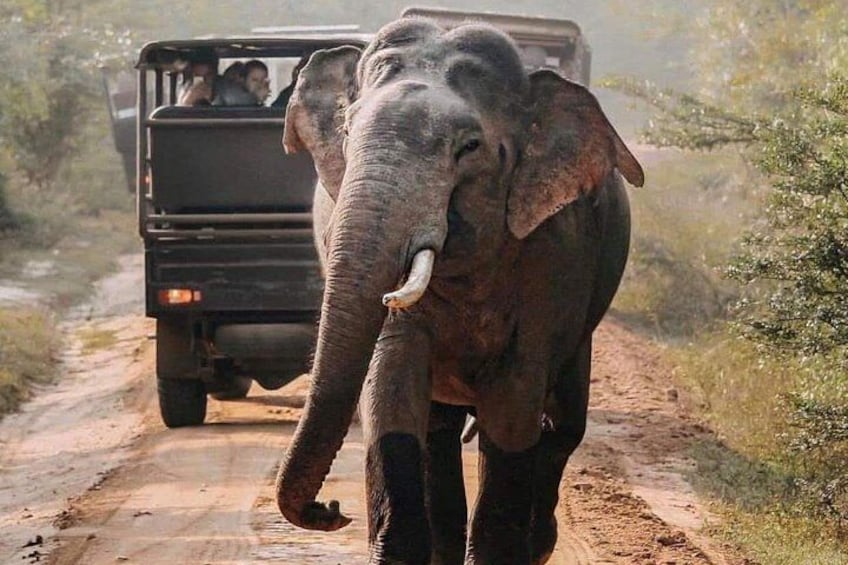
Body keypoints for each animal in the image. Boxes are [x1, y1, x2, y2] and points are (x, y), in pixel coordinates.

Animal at [276, 15, 644, 560]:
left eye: (469, 147)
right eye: (348, 131)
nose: (331, 510)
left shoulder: (556, 255)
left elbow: (513, 406)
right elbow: (391, 388)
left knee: (562, 426)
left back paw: (539, 544)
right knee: (439, 432)